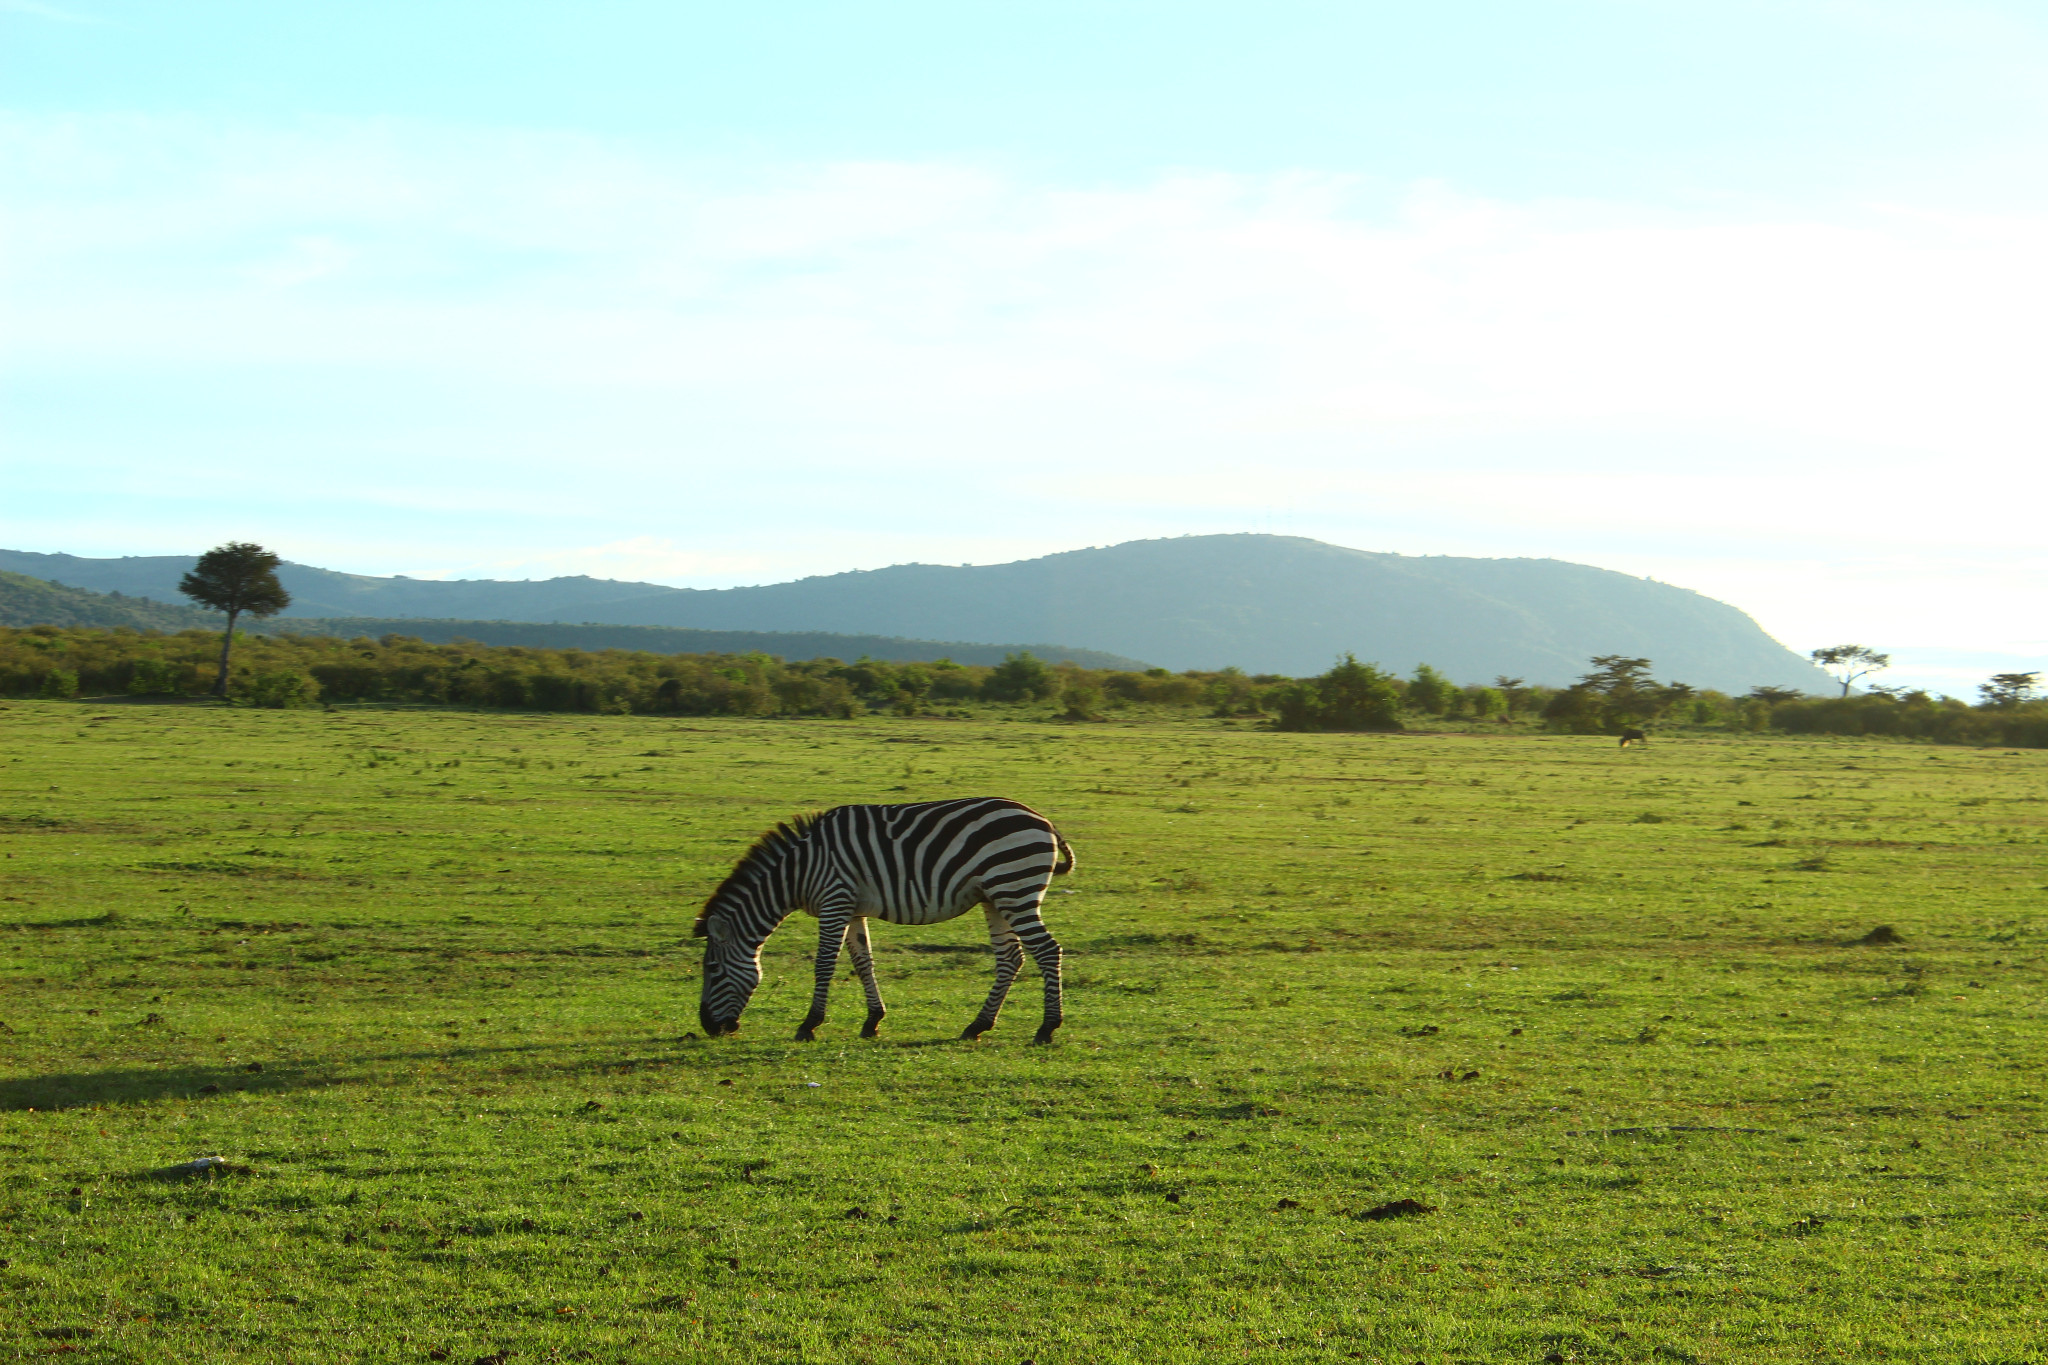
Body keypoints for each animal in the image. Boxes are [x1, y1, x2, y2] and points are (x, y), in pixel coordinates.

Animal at [692, 794, 1073, 1039]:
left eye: (711, 969)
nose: (708, 1027)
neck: (797, 871)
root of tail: (1044, 821)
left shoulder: (834, 900)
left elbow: (824, 964)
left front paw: (809, 1024)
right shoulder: (850, 908)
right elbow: (863, 962)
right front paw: (872, 1021)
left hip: (1014, 888)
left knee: (1046, 950)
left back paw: (1047, 1027)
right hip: (995, 897)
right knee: (1011, 957)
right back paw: (977, 1026)